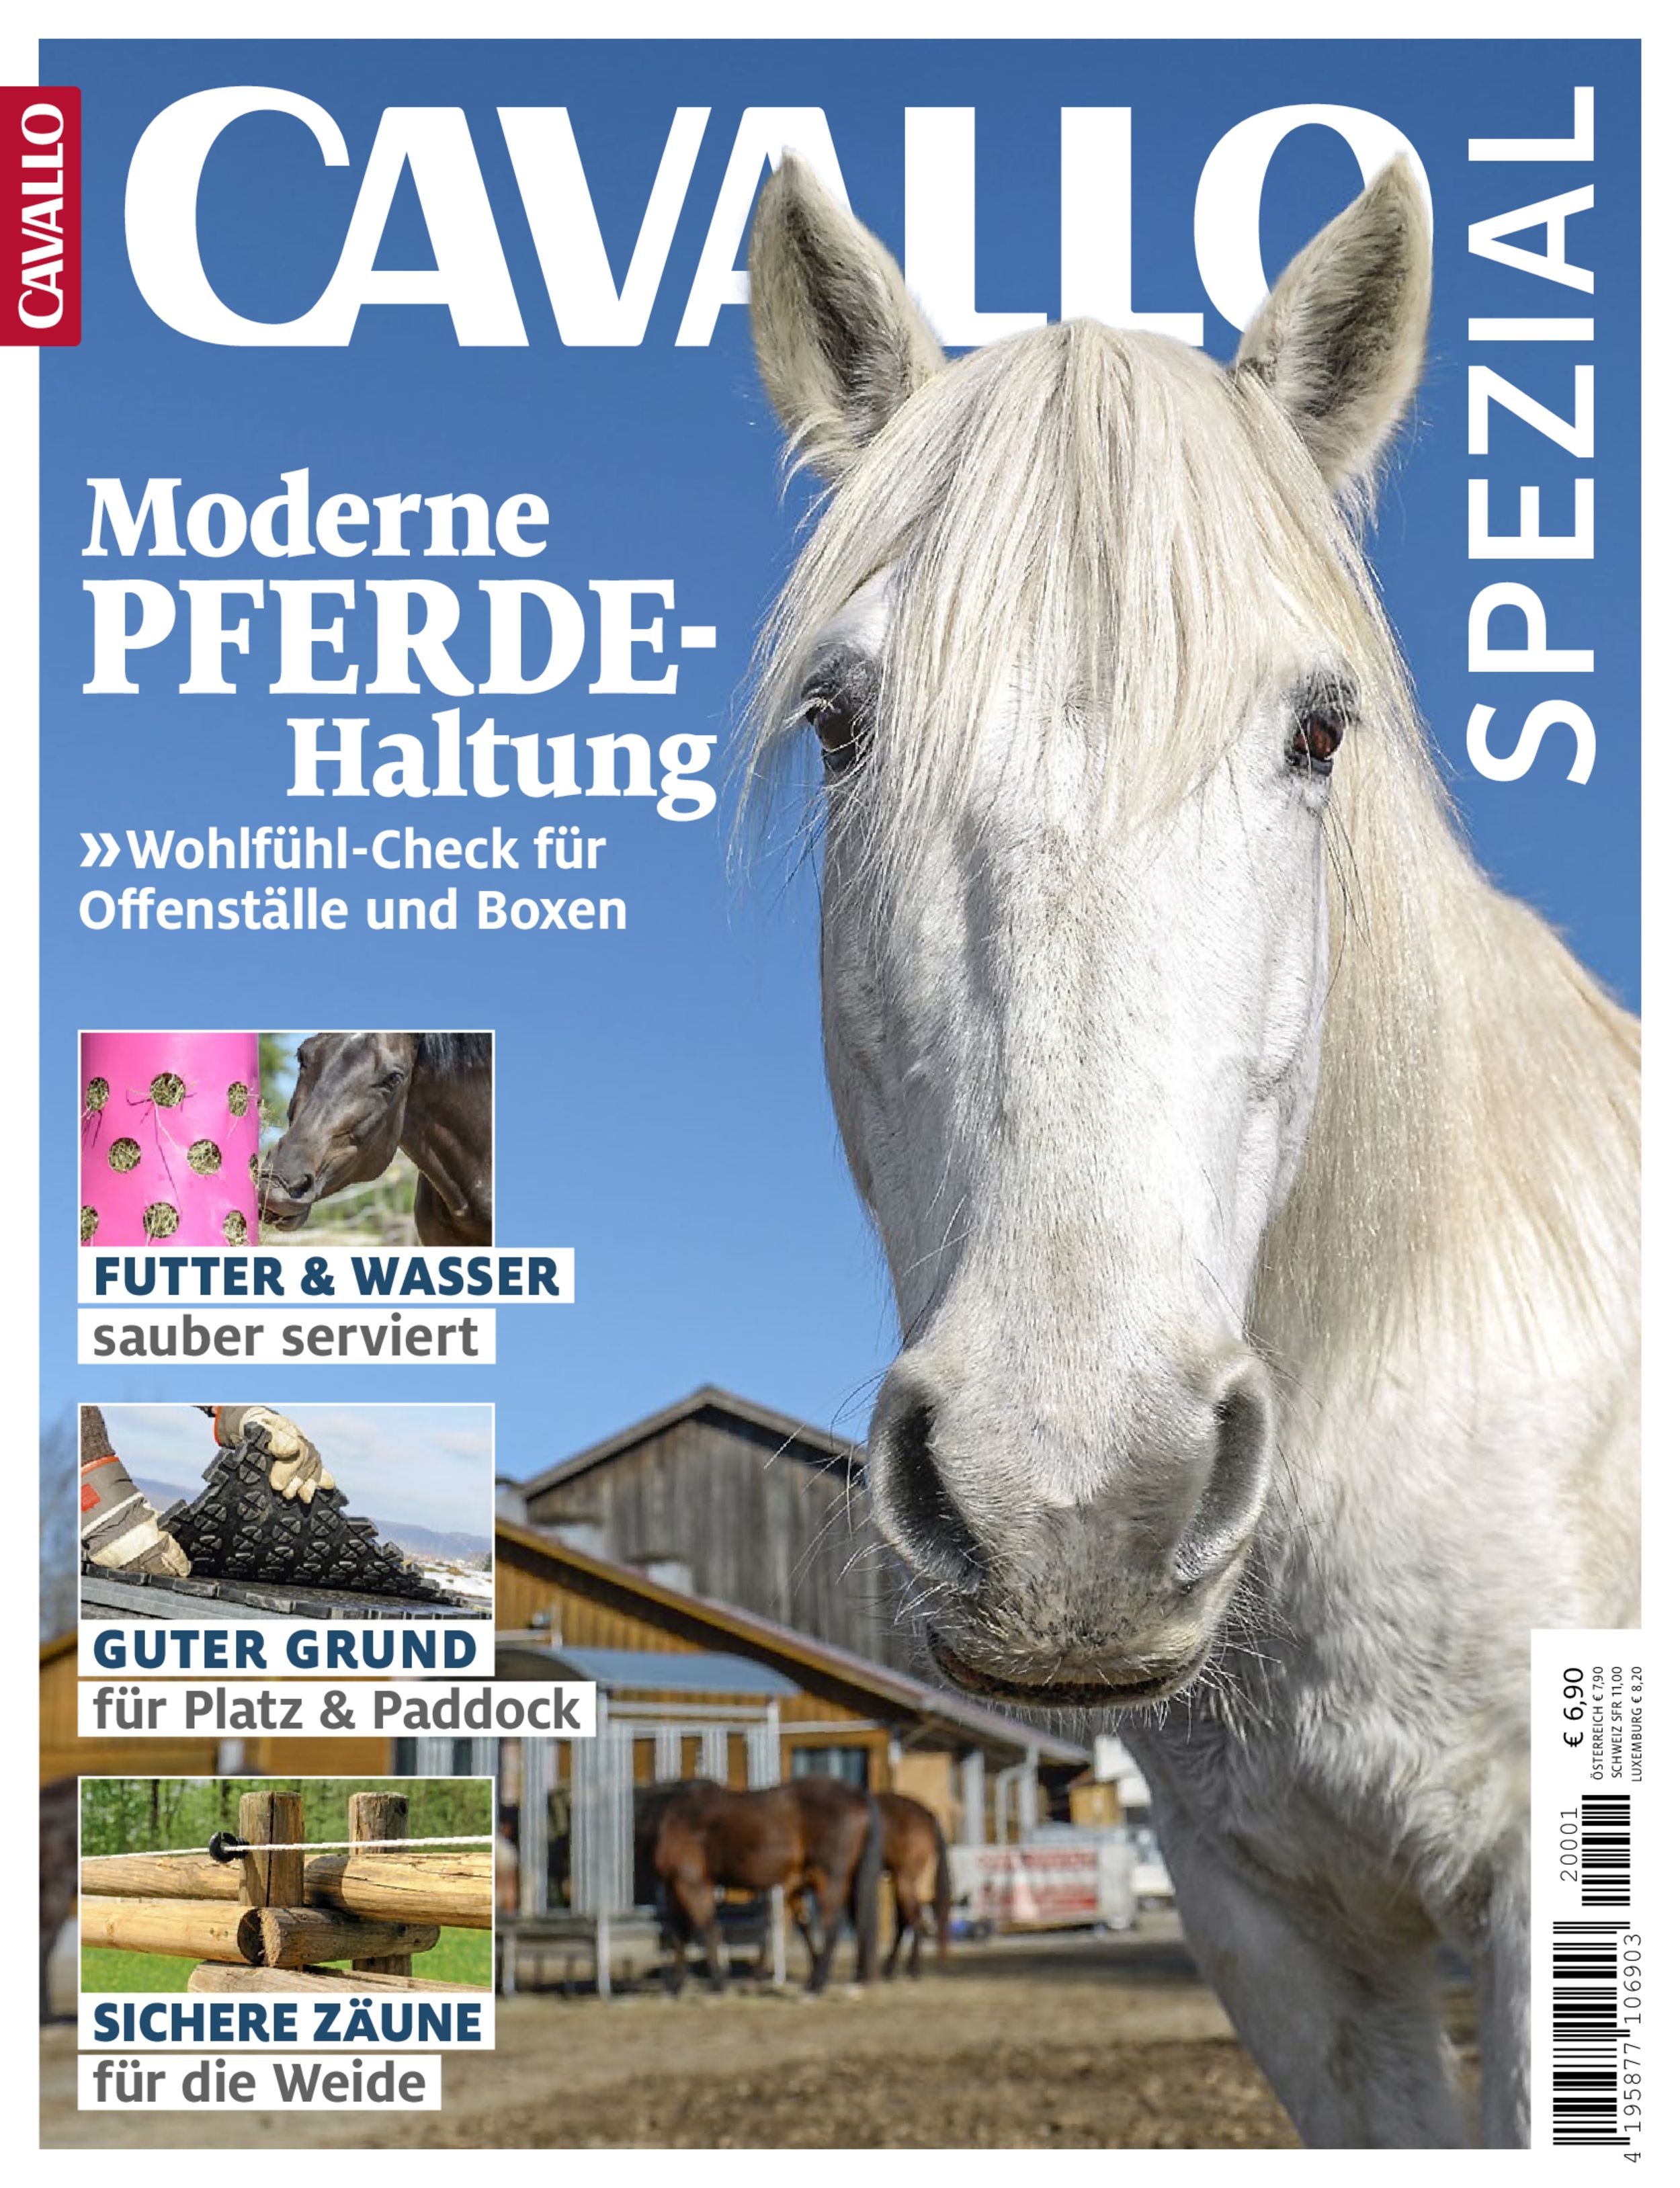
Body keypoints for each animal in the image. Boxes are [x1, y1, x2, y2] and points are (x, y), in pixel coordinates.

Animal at [650, 1777, 882, 1995]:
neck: (679, 1817)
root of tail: (856, 1796)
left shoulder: (691, 1884)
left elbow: (706, 1931)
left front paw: (716, 1986)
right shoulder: (675, 1888)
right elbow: (679, 1935)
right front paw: (675, 1988)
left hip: (829, 1879)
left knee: (832, 1928)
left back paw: (815, 1987)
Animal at [877, 1791, 951, 1977]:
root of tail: (928, 1816)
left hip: (904, 1879)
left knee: (914, 1918)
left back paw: (911, 1968)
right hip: (903, 1880)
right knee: (907, 1919)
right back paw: (893, 1967)